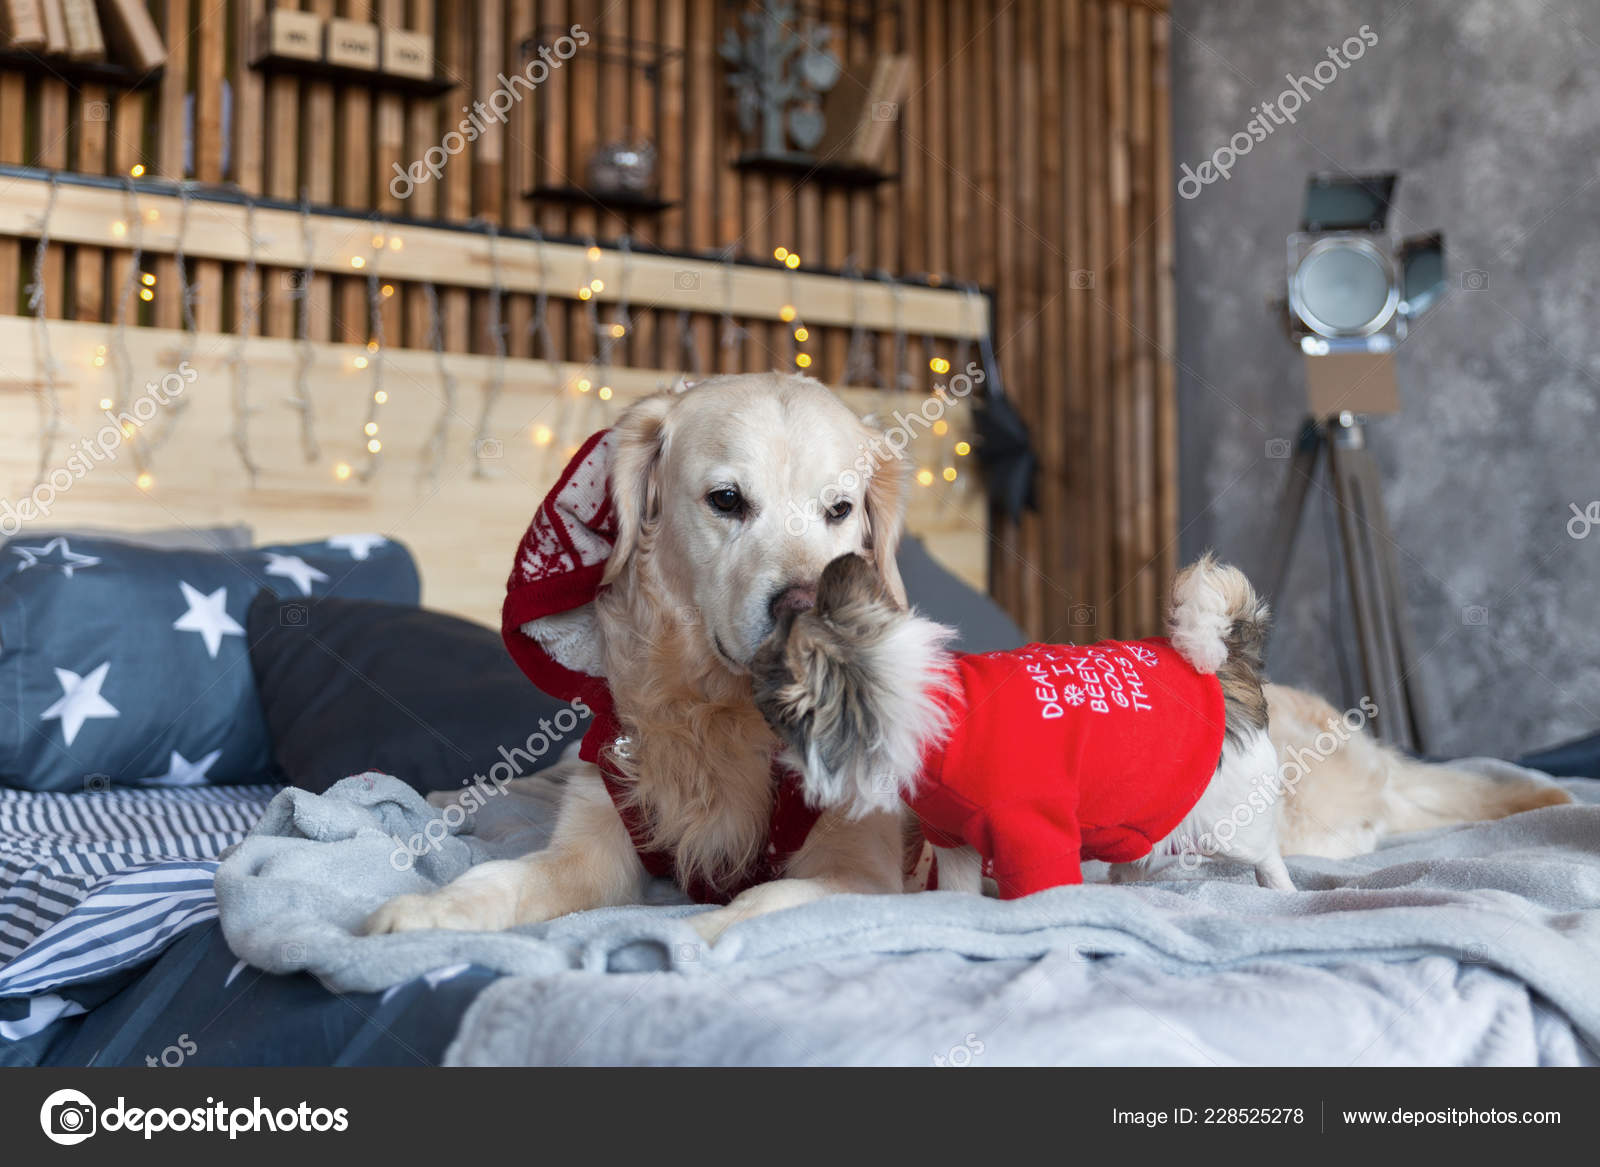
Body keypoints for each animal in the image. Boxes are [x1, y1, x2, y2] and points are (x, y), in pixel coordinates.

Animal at [752, 550, 1299, 896]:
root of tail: (1226, 667)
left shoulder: (1033, 832)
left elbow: (1041, 889)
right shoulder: (953, 840)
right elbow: (957, 891)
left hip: (1225, 826)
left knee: (1266, 854)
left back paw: (1282, 890)